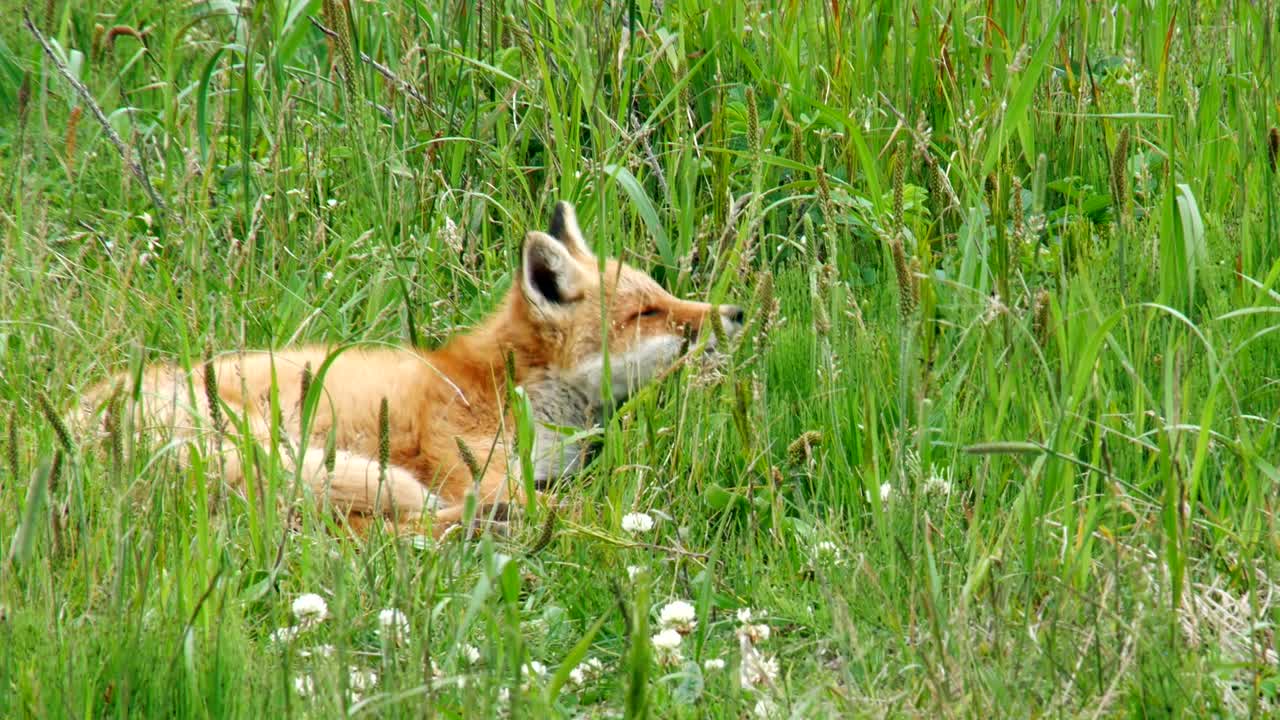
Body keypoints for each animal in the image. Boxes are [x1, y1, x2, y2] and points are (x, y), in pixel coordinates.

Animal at [76, 202, 744, 537]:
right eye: (646, 313)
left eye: (662, 294)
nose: (736, 313)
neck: (508, 389)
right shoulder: (473, 467)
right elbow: (559, 503)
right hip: (309, 455)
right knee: (390, 523)